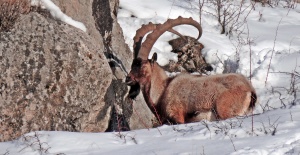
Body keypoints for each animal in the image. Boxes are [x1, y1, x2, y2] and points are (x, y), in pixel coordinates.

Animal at [125, 16, 256, 124]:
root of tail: (250, 91)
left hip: (224, 111)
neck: (163, 90)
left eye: (142, 65)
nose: (128, 79)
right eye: (132, 65)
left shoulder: (177, 115)